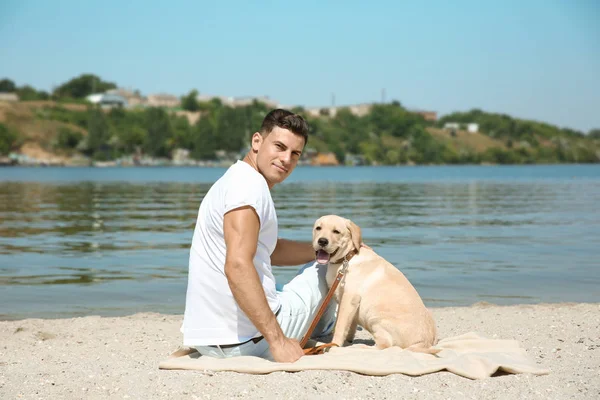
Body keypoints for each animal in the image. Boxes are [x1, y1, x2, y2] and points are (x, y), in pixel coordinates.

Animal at [314, 216, 436, 354]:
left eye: (336, 232)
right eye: (318, 228)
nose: (322, 241)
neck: (347, 258)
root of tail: (424, 343)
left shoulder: (349, 298)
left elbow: (340, 325)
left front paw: (333, 346)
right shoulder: (348, 303)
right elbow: (350, 325)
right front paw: (347, 340)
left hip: (375, 318)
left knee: (384, 346)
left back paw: (359, 347)